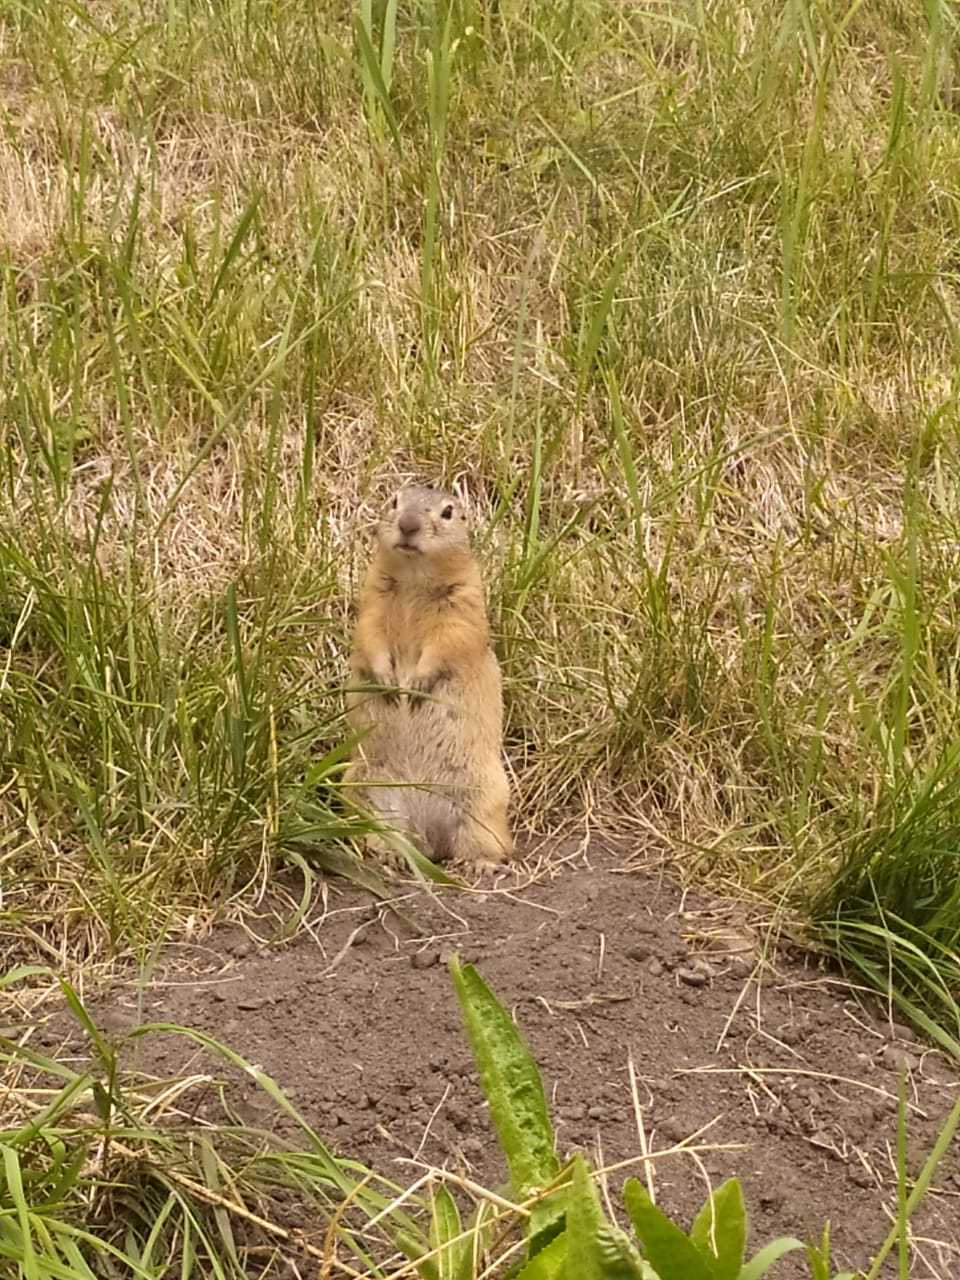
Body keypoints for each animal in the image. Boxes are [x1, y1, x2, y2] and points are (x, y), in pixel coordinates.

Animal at [343, 483, 512, 865]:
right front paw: (389, 682)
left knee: (488, 842)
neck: (414, 577)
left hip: (485, 798)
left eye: (448, 512)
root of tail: (430, 839)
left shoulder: (463, 605)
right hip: (366, 793)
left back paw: (480, 864)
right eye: (394, 500)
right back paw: (390, 856)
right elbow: (369, 635)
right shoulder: (371, 601)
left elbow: (447, 642)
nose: (408, 524)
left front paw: (417, 684)